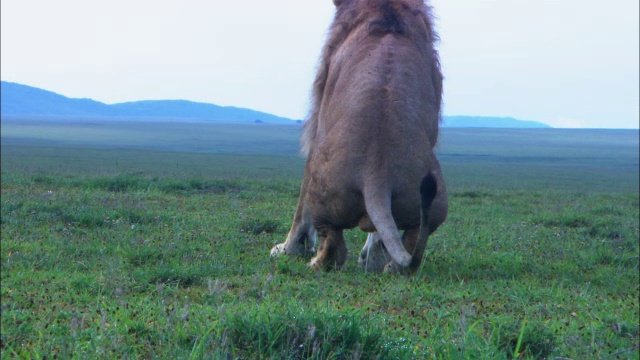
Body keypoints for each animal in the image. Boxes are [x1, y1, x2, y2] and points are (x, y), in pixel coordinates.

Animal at [272, 0, 448, 272]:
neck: (388, 12)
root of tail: (376, 175)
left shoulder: (319, 117)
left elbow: (301, 204)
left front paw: (288, 248)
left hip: (322, 197)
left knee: (333, 248)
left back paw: (315, 263)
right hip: (432, 201)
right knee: (412, 238)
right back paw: (385, 264)